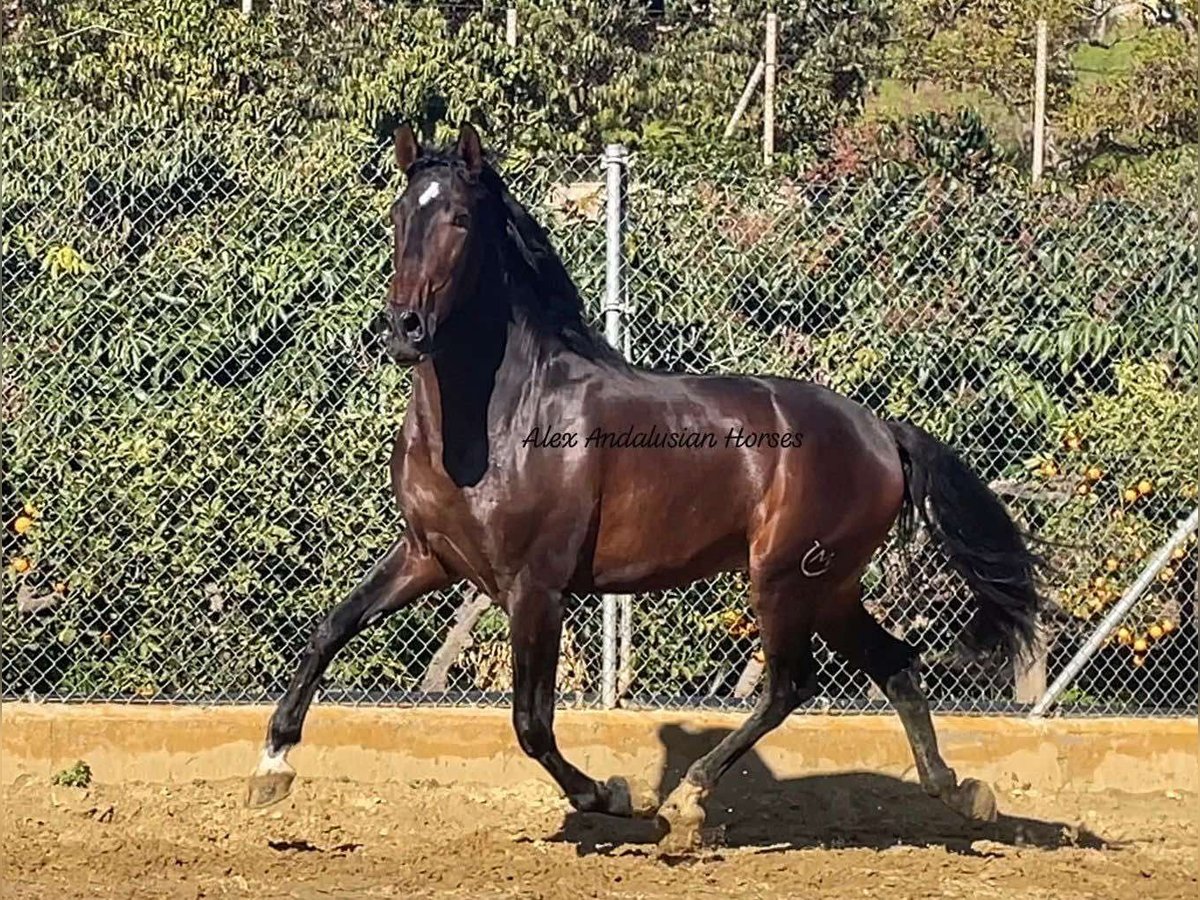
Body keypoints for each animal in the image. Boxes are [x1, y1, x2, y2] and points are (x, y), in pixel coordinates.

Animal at [248, 121, 1046, 854]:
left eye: (460, 219)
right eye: (398, 214)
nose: (404, 329)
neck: (497, 420)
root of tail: (882, 431)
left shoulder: (535, 585)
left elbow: (531, 724)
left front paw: (618, 796)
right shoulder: (428, 556)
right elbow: (330, 628)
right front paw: (272, 767)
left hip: (785, 578)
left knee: (791, 686)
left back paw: (688, 805)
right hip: (832, 587)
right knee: (897, 666)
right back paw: (962, 794)